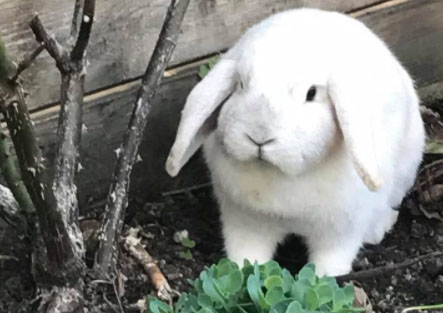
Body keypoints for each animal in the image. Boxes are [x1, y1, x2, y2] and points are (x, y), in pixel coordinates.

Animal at [165, 8, 424, 274]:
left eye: (311, 93)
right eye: (240, 84)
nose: (259, 137)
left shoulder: (340, 233)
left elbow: (332, 260)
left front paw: (324, 277)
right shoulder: (245, 223)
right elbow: (246, 253)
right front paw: (242, 270)